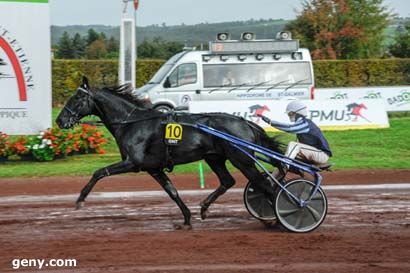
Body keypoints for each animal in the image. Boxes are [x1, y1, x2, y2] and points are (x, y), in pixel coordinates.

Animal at [56, 76, 282, 227]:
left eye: (77, 98)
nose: (59, 120)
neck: (132, 123)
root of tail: (245, 122)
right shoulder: (153, 168)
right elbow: (172, 191)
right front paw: (187, 219)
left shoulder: (133, 162)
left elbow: (99, 173)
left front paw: (80, 200)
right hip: (215, 158)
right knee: (228, 181)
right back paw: (204, 207)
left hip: (242, 160)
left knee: (266, 186)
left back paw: (278, 217)